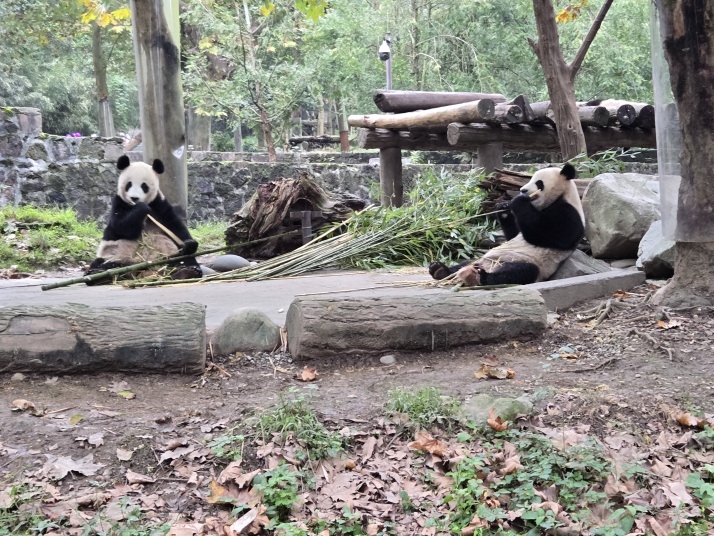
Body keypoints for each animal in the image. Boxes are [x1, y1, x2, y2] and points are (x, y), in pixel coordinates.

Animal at [429, 163, 584, 286]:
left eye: (539, 183)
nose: (522, 190)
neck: (561, 196)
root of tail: (485, 266)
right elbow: (513, 235)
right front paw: (503, 207)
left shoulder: (569, 213)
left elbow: (548, 234)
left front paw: (518, 201)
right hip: (481, 258)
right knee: (465, 263)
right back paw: (440, 270)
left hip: (525, 262)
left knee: (519, 271)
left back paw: (480, 277)